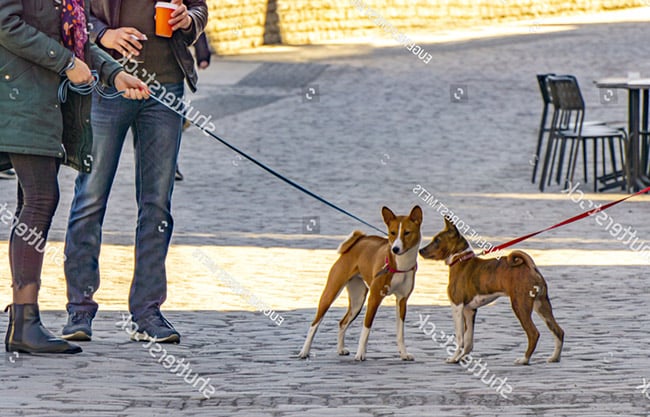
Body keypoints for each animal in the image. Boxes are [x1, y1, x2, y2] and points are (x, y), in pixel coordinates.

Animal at [298, 206, 422, 360]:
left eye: (407, 232)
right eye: (392, 233)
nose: (395, 249)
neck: (400, 266)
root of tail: (358, 241)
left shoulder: (402, 300)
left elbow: (400, 333)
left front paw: (404, 354)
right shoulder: (374, 298)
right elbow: (366, 328)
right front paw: (360, 353)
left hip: (357, 301)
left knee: (342, 323)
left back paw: (340, 349)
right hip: (331, 293)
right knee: (314, 324)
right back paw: (304, 351)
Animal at [418, 216, 560, 362]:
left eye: (437, 240)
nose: (420, 250)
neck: (460, 260)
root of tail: (530, 267)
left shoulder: (457, 306)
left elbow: (460, 338)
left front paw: (453, 358)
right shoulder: (469, 310)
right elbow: (468, 340)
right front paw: (462, 358)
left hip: (520, 306)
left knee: (533, 333)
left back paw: (524, 360)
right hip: (541, 305)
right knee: (558, 331)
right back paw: (554, 357)